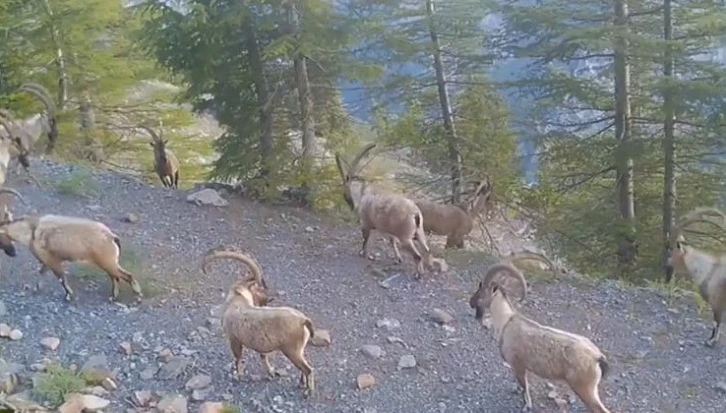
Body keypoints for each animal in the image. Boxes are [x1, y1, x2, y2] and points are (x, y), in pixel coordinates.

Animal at [0, 214, 145, 300]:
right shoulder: (47, 260)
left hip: (106, 262)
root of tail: (112, 237)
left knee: (125, 275)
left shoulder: (52, 260)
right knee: (116, 276)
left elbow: (61, 277)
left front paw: (69, 295)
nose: (12, 253)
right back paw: (115, 296)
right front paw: (36, 288)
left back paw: (135, 295)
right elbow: (42, 272)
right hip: (110, 263)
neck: (32, 231)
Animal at [205, 246, 318, 394]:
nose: (267, 300)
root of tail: (303, 320)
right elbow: (263, 357)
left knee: (308, 369)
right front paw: (271, 373)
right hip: (299, 350)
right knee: (304, 368)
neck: (237, 300)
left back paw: (308, 391)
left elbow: (238, 358)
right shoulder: (261, 346)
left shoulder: (234, 340)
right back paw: (301, 384)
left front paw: (239, 376)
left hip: (292, 351)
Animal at [336, 142, 444, 276]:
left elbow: (366, 239)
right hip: (420, 231)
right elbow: (391, 242)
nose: (347, 200)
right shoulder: (387, 230)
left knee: (417, 255)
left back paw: (418, 274)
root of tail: (415, 214)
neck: (363, 194)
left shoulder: (366, 224)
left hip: (406, 237)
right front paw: (398, 259)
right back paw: (429, 266)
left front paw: (364, 253)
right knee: (427, 249)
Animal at [472, 260, 616, 412]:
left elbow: (525, 386)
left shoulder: (519, 365)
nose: (471, 303)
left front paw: (527, 405)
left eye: (480, 294)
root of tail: (597, 357)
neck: (506, 321)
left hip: (585, 388)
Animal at [668, 205, 726, 344]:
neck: (709, 270)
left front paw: (711, 341)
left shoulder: (718, 303)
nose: (667, 264)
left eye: (672, 250)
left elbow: (716, 322)